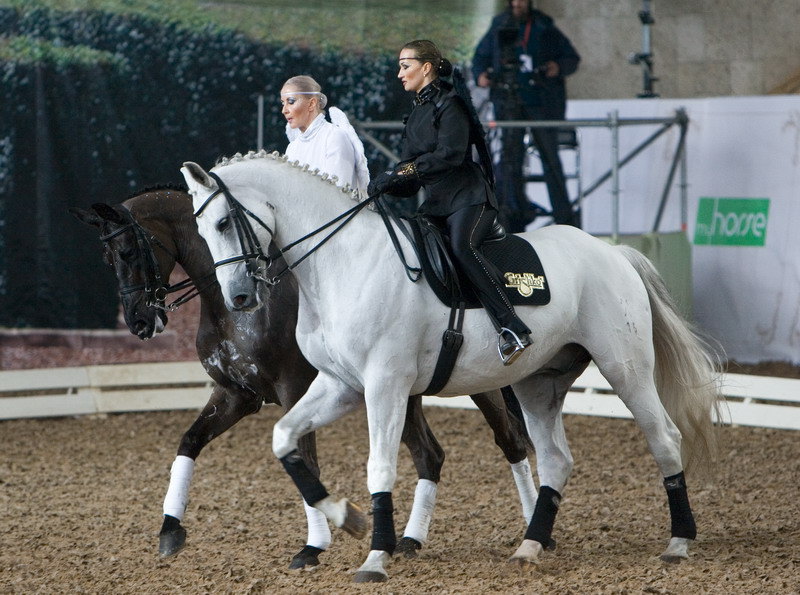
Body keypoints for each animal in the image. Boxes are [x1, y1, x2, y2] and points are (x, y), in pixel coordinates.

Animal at [70, 189, 536, 572]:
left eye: (129, 252)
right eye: (109, 259)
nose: (140, 323)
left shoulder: (295, 389)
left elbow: (306, 461)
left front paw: (314, 547)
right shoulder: (236, 395)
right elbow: (189, 442)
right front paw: (170, 530)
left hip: (477, 383)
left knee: (510, 442)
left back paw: (533, 529)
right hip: (404, 393)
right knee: (430, 455)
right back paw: (410, 540)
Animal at [181, 150, 720, 584]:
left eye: (224, 223)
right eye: (200, 232)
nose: (239, 298)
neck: (342, 263)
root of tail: (613, 251)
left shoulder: (384, 386)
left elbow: (380, 466)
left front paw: (375, 558)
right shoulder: (339, 386)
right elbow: (285, 439)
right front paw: (346, 518)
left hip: (624, 367)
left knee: (663, 438)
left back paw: (678, 542)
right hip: (537, 384)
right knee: (555, 459)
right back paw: (529, 546)